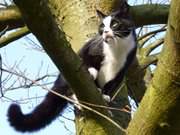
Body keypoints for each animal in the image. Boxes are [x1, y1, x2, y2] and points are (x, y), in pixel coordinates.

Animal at [7, 2, 136, 133]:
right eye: (102, 26)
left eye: (114, 24)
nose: (105, 31)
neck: (117, 49)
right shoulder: (92, 49)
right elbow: (87, 60)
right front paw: (92, 73)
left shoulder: (121, 70)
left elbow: (111, 85)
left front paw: (106, 96)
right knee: (71, 90)